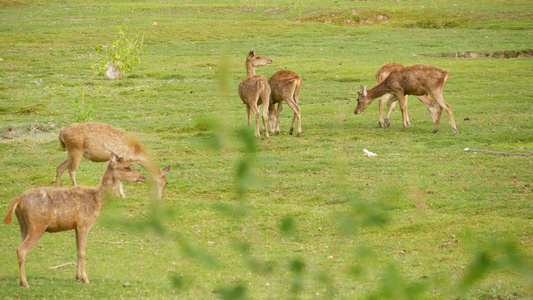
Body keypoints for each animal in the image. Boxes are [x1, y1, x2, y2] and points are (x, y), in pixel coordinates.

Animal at [3, 145, 145, 288]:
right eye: (126, 167)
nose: (143, 177)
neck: (97, 200)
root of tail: (19, 200)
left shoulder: (76, 226)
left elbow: (77, 251)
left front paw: (78, 277)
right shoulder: (84, 224)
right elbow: (82, 252)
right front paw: (86, 279)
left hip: (23, 225)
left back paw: (21, 281)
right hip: (37, 224)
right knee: (21, 249)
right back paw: (25, 283)